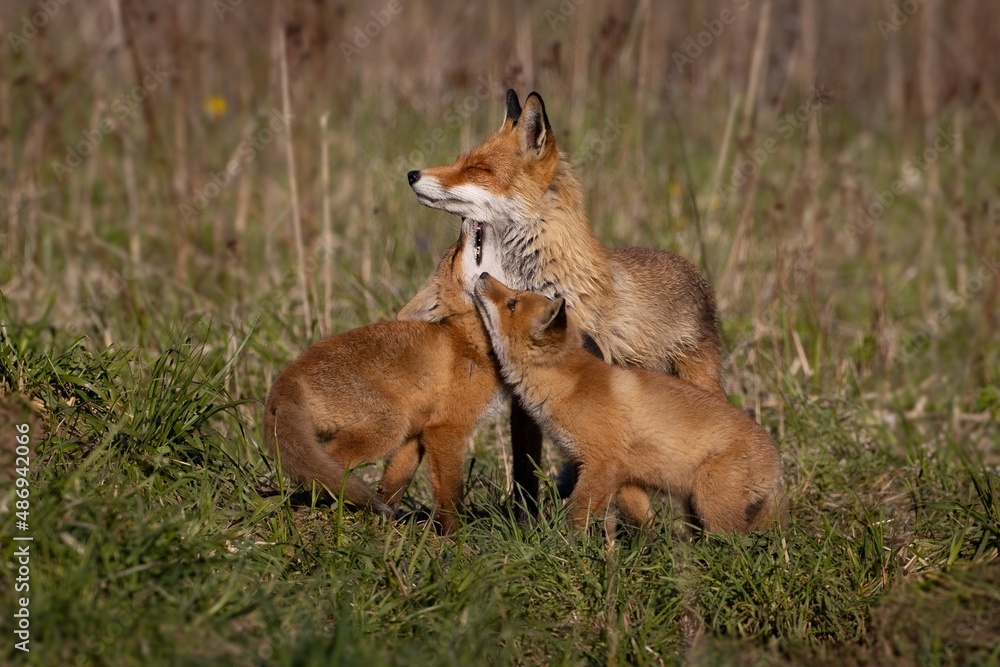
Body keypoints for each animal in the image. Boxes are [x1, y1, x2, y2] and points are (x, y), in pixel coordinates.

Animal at [263, 230, 504, 533]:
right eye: (453, 255)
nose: (462, 230)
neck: (474, 344)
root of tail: (288, 374)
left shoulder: (417, 433)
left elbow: (394, 484)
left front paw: (386, 525)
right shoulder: (446, 429)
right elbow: (450, 495)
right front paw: (455, 537)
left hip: (392, 428)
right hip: (388, 426)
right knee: (326, 467)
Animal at [403, 89, 723, 515]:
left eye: (478, 169)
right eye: (461, 160)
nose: (411, 174)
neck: (543, 285)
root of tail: (691, 267)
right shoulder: (523, 390)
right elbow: (524, 464)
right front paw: (523, 519)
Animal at [472, 273, 787, 534]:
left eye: (512, 303)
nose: (483, 274)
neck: (570, 387)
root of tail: (777, 465)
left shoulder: (601, 464)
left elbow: (576, 516)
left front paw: (562, 548)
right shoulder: (622, 476)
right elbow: (643, 521)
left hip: (711, 502)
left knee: (737, 544)